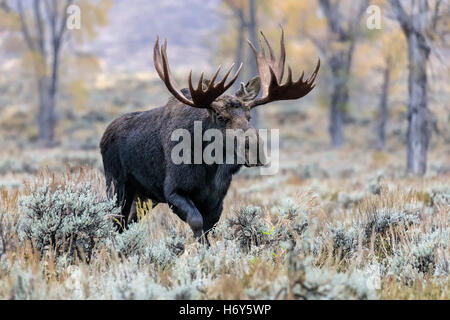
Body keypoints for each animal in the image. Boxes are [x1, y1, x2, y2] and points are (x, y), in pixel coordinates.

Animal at [100, 28, 318, 242]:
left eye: (249, 116)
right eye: (221, 116)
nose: (255, 149)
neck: (210, 167)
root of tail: (104, 137)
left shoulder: (216, 200)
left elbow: (208, 229)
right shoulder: (173, 191)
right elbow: (197, 224)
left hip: (143, 197)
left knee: (126, 223)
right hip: (117, 186)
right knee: (115, 221)